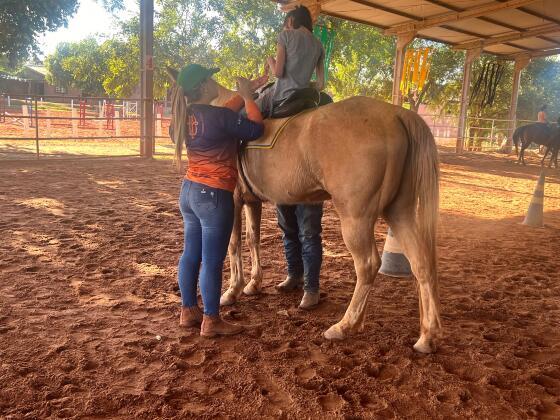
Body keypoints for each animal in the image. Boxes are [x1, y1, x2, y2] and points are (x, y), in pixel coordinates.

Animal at [166, 69, 442, 354]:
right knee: (421, 263)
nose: (173, 132)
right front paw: (253, 284)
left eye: (170, 95)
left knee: (368, 265)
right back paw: (426, 336)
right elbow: (253, 240)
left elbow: (233, 245)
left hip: (357, 219)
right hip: (399, 212)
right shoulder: (252, 202)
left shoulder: (233, 200)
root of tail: (396, 114)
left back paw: (345, 326)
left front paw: (232, 291)